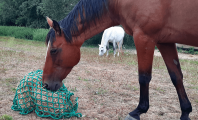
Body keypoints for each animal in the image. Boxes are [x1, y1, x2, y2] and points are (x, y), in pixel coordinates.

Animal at [43, 0, 198, 119]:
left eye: (53, 50)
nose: (45, 84)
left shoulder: (144, 38)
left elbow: (144, 77)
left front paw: (138, 111)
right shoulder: (165, 42)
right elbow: (176, 76)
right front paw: (185, 112)